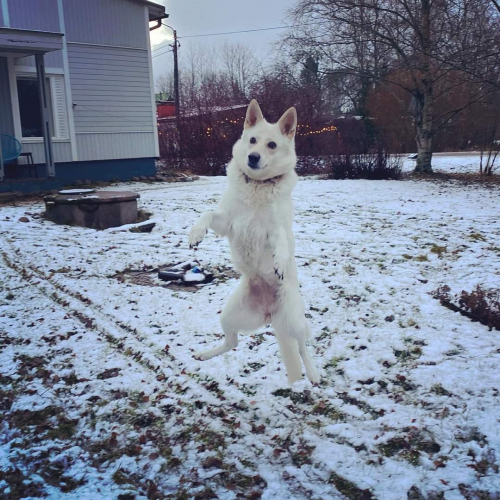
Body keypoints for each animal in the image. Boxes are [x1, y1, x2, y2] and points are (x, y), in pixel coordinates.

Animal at [188, 99, 320, 384]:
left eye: (271, 145)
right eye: (252, 140)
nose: (253, 157)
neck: (258, 186)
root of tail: (270, 314)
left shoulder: (274, 229)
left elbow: (281, 241)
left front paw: (280, 261)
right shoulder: (227, 222)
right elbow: (207, 213)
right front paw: (196, 234)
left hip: (295, 320)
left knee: (303, 346)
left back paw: (313, 373)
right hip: (229, 316)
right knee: (232, 343)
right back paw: (205, 354)